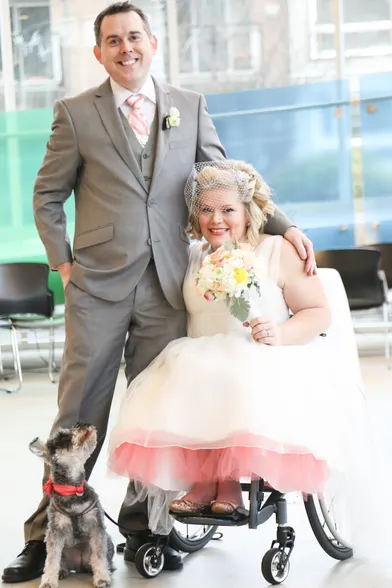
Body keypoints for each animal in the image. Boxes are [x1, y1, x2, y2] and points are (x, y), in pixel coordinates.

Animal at [29, 422, 114, 588]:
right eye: (62, 437)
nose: (83, 423)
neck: (73, 489)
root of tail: (79, 566)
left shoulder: (97, 527)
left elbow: (99, 556)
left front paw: (102, 578)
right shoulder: (55, 532)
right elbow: (52, 560)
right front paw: (48, 580)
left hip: (108, 542)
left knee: (99, 560)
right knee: (62, 562)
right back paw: (62, 570)